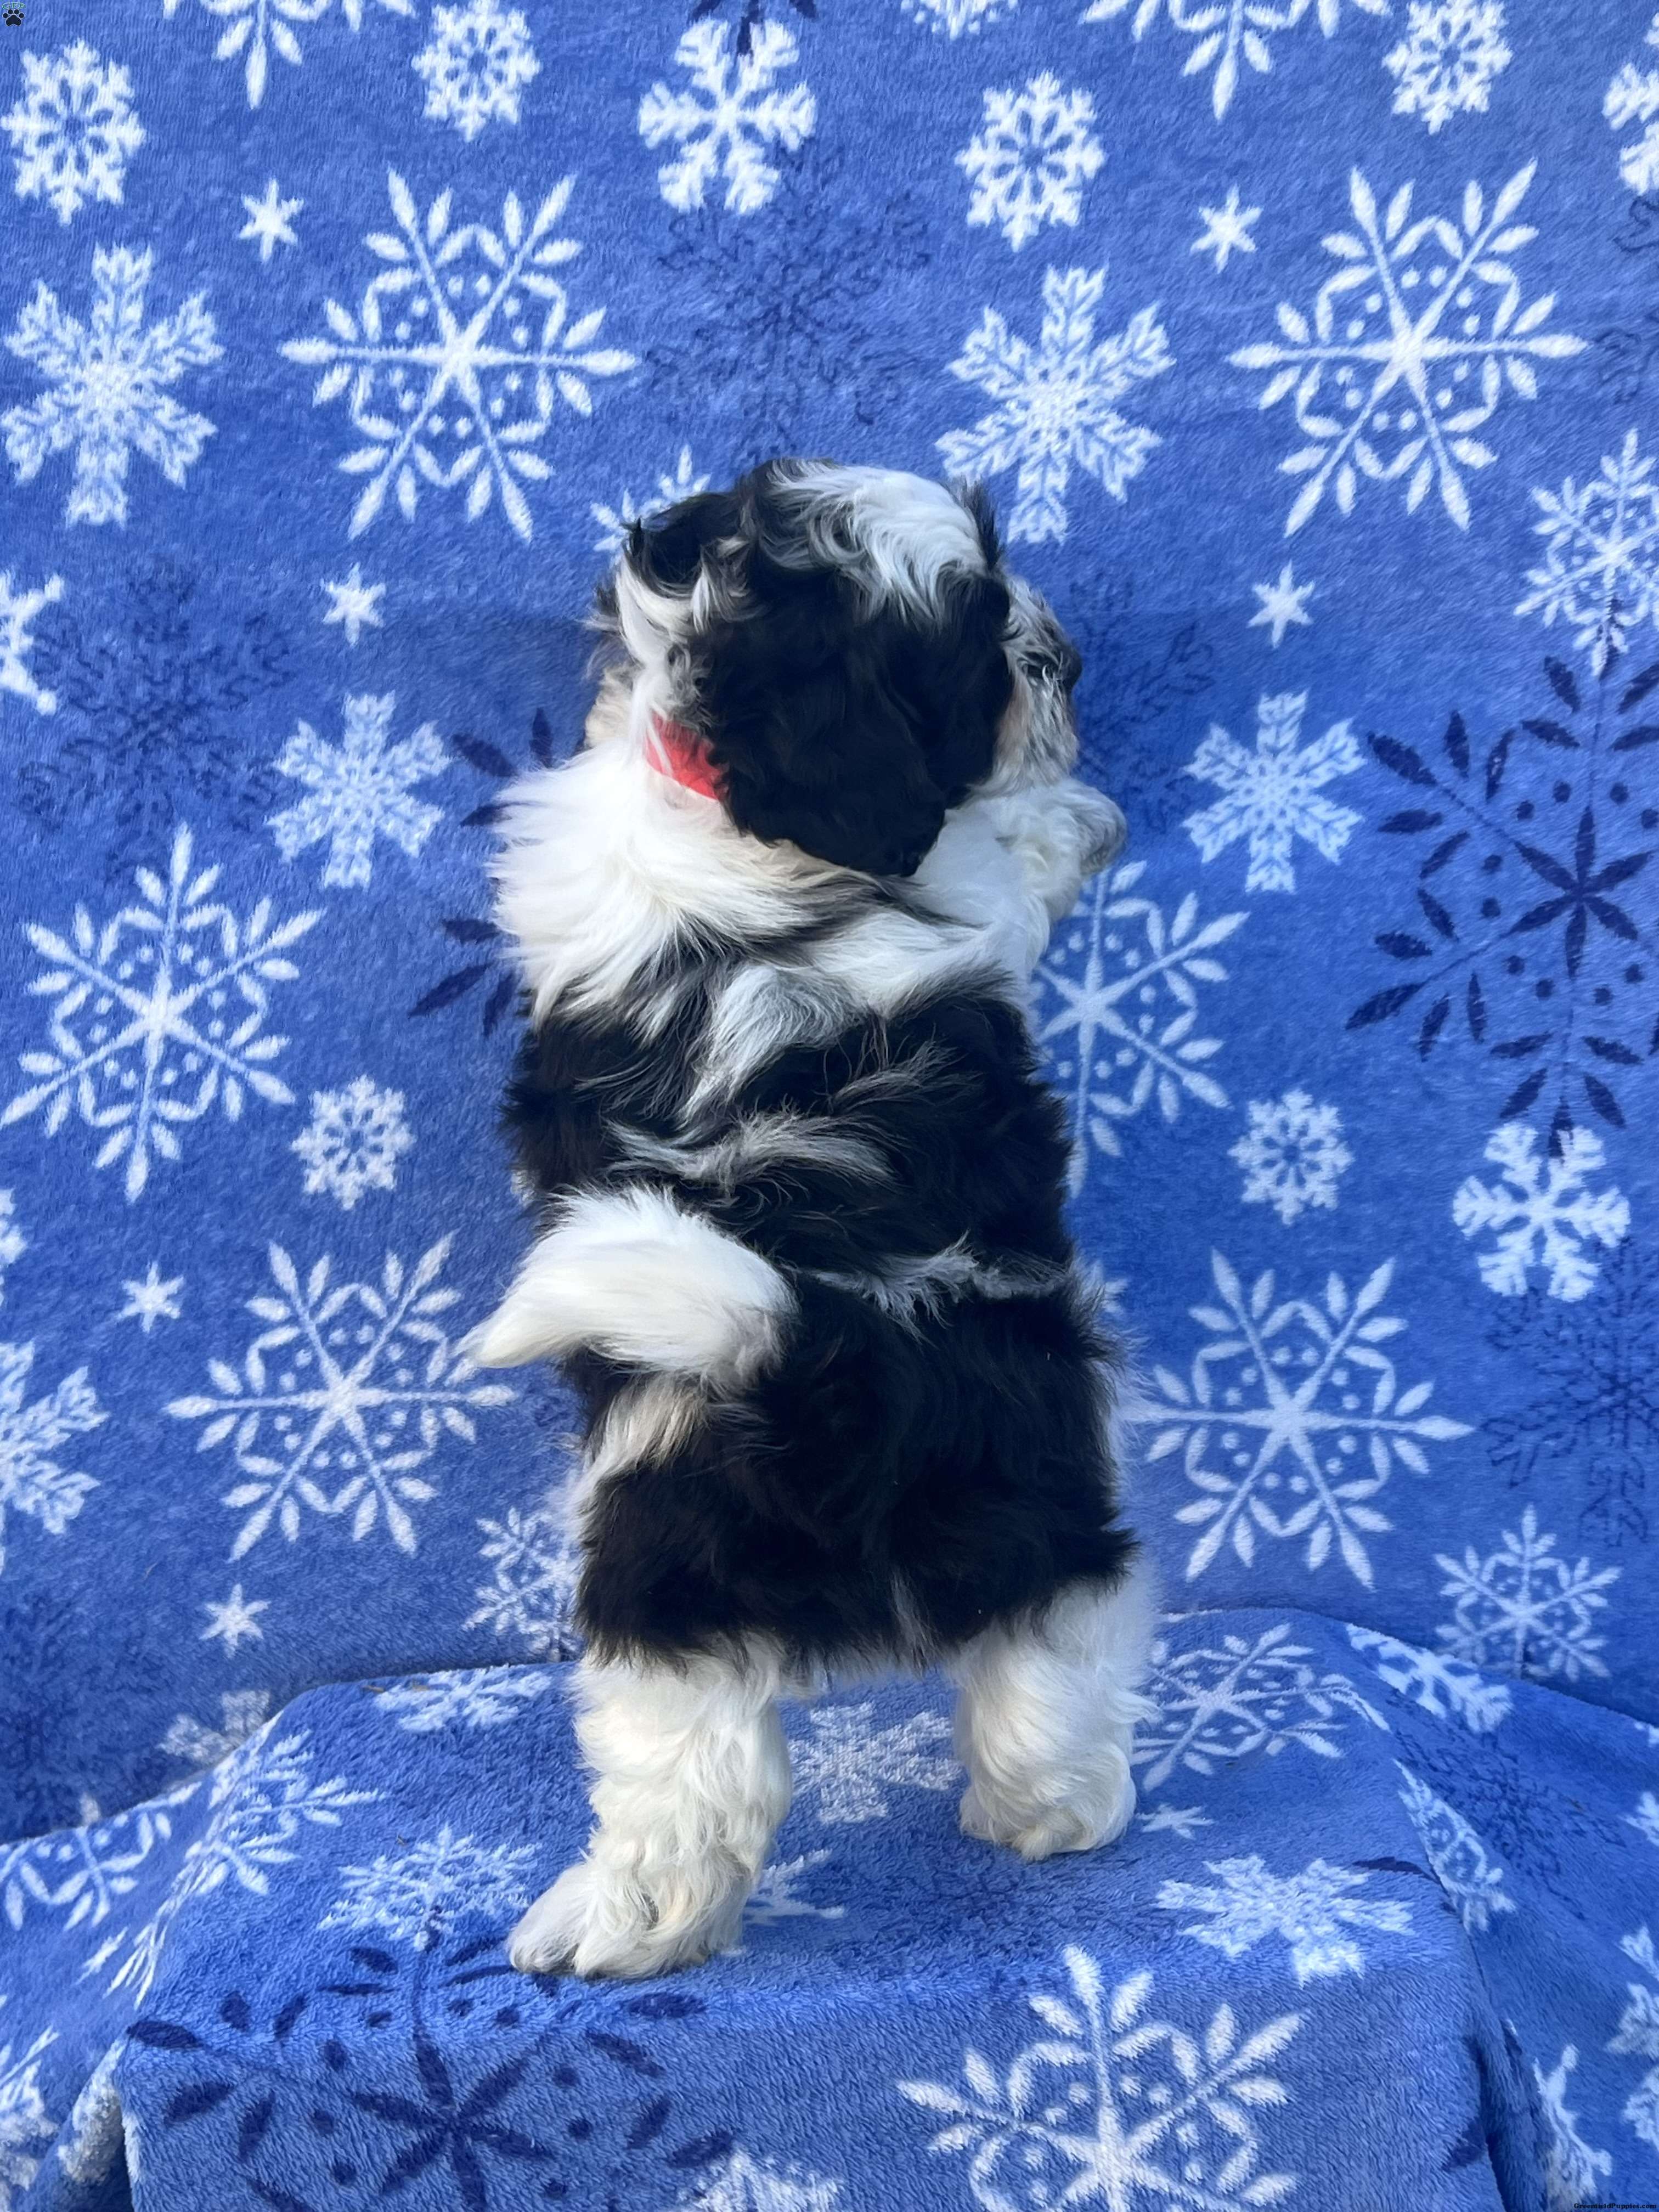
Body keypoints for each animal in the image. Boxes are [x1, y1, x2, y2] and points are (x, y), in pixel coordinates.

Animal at [464, 460, 1157, 1981]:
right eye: (979, 645)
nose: (1066, 657)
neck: (714, 799)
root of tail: (809, 1354)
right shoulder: (970, 893)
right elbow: (1008, 856)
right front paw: (1080, 819)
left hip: (659, 1576)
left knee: (691, 1777)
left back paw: (619, 1930)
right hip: (1048, 1479)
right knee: (1061, 1651)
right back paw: (1062, 1818)